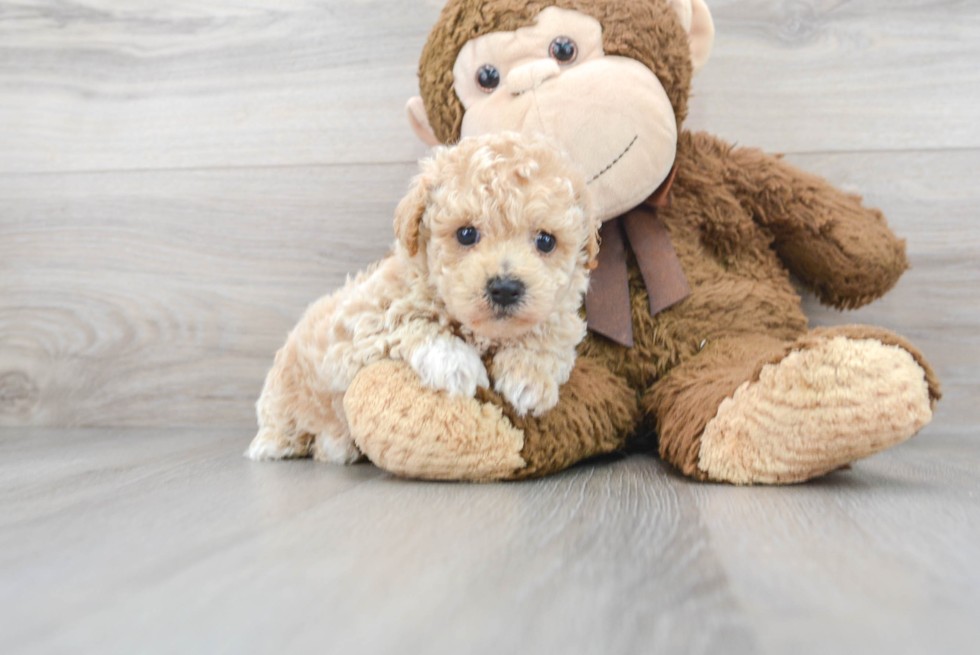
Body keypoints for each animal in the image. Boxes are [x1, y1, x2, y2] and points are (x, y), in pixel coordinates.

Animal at [247, 131, 596, 464]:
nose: (505, 289)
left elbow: (548, 332)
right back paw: (279, 445)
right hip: (282, 396)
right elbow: (409, 322)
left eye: (546, 241)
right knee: (283, 424)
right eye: (466, 234)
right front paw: (456, 364)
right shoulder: (354, 325)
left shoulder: (562, 316)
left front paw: (529, 379)